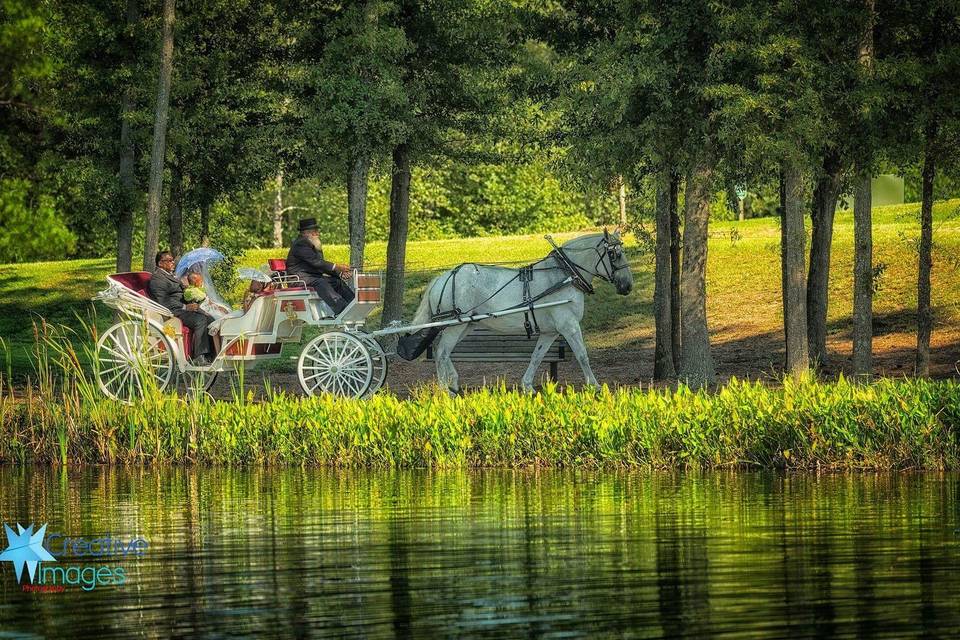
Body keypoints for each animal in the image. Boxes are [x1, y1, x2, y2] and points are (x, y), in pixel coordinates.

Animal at [408, 228, 632, 392]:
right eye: (614, 254)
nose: (628, 286)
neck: (565, 275)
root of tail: (441, 278)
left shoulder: (550, 332)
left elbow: (537, 356)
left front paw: (527, 386)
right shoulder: (569, 326)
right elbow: (582, 355)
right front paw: (595, 386)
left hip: (465, 326)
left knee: (444, 353)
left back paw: (453, 384)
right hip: (454, 326)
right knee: (441, 352)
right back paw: (445, 389)